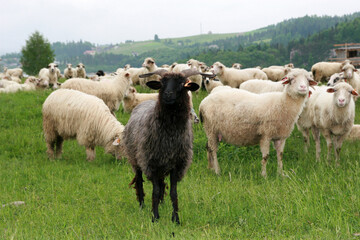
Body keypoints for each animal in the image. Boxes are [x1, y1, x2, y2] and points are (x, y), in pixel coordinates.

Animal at [124, 67, 214, 223]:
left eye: (182, 83)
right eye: (162, 83)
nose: (167, 94)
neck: (170, 134)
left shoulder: (177, 165)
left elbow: (173, 192)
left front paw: (175, 219)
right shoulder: (151, 162)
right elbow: (154, 191)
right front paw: (155, 218)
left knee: (160, 184)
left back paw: (161, 204)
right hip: (136, 158)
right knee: (139, 181)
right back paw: (142, 205)